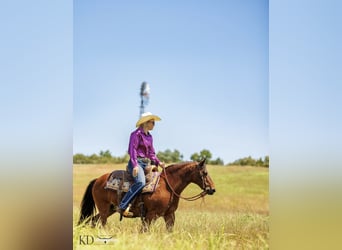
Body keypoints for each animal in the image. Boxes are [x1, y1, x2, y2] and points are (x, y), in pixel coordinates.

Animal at [79, 159, 215, 231]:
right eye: (205, 173)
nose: (212, 189)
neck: (168, 186)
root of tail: (98, 180)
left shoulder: (169, 215)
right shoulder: (151, 215)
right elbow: (144, 231)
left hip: (110, 210)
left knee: (93, 220)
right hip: (104, 209)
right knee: (101, 223)